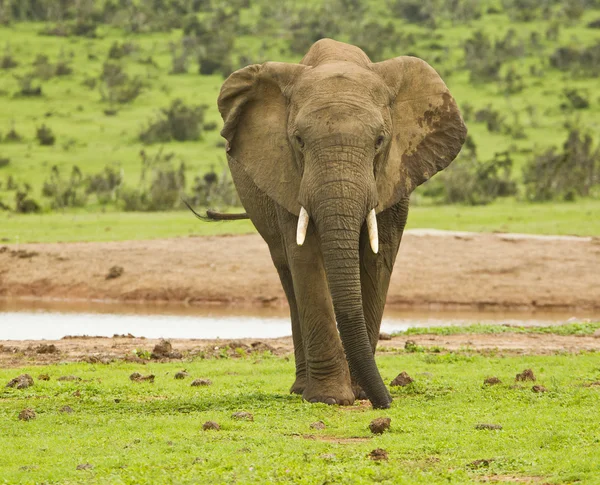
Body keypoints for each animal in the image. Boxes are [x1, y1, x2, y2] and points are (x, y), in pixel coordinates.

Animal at [213, 38, 466, 408]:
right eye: (299, 140)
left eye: (379, 141)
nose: (385, 402)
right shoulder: (287, 175)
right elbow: (306, 260)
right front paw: (330, 398)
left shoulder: (395, 175)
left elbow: (377, 260)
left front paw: (359, 392)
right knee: (287, 273)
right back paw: (301, 388)